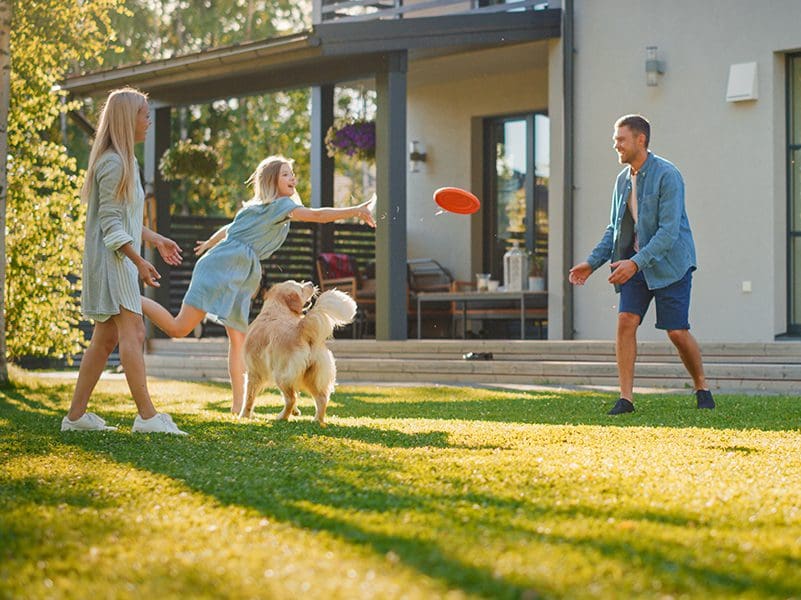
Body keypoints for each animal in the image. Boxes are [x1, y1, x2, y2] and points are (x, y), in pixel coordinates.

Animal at [241, 282, 356, 426]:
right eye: (300, 286)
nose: (311, 283)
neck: (277, 308)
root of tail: (301, 328)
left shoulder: (253, 373)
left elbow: (248, 398)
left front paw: (244, 416)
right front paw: (296, 412)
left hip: (281, 375)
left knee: (291, 398)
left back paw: (282, 417)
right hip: (312, 376)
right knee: (321, 398)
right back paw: (317, 420)